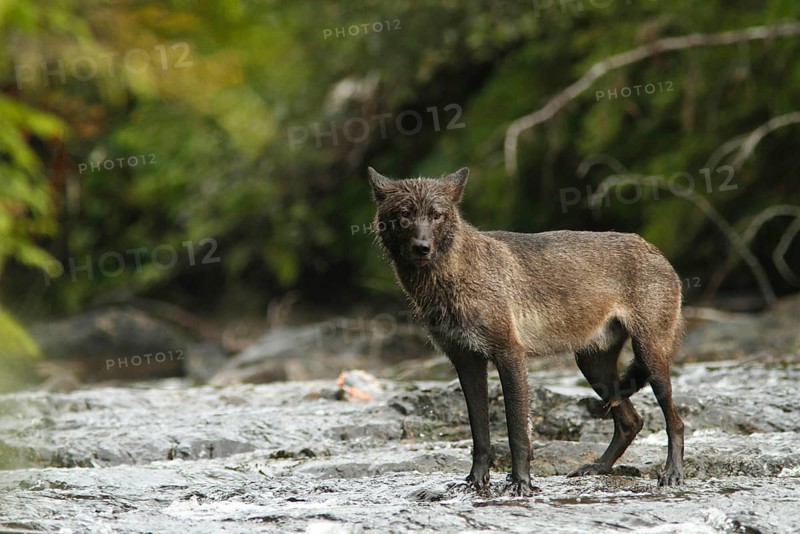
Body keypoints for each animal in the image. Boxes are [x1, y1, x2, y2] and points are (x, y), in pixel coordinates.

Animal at [367, 167, 685, 496]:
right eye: (404, 215)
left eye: (436, 215)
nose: (422, 248)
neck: (455, 276)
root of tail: (657, 252)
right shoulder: (466, 362)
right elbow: (480, 434)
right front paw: (475, 482)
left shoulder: (510, 355)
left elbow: (517, 430)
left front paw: (521, 483)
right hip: (592, 367)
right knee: (631, 422)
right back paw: (597, 468)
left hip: (649, 358)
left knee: (675, 422)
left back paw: (672, 474)